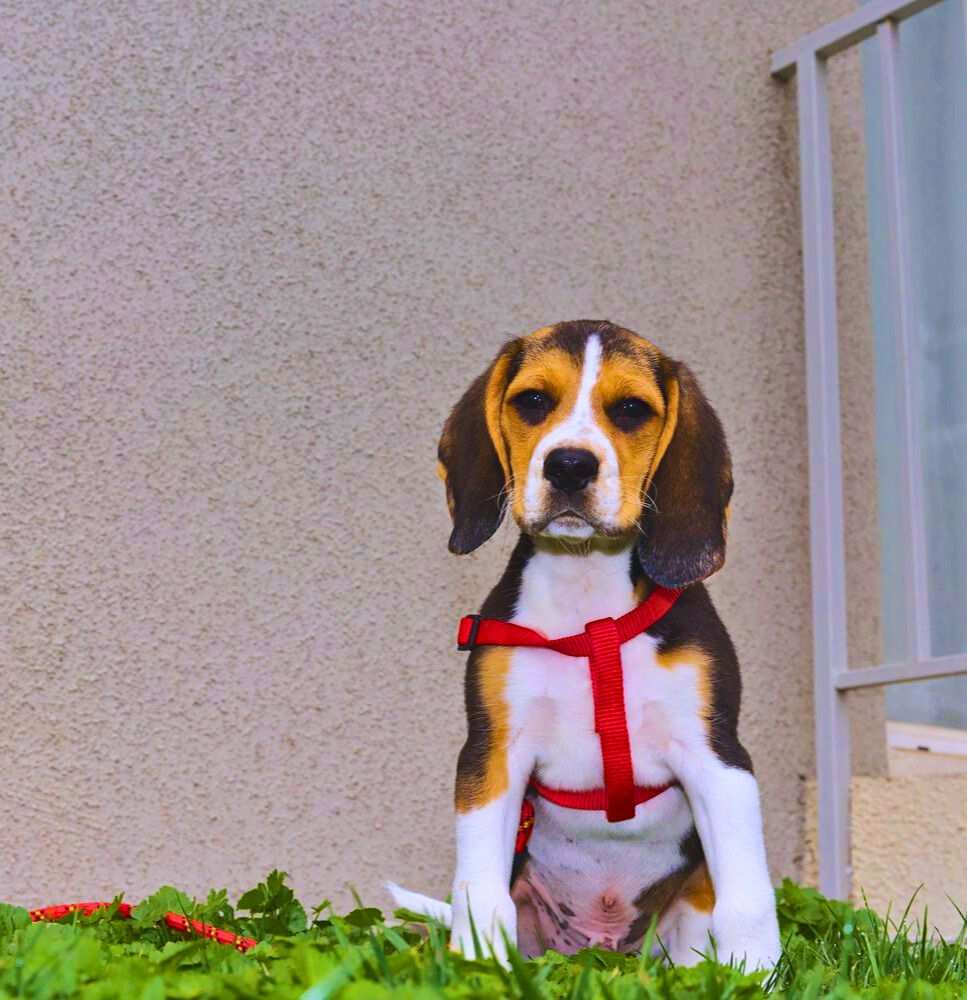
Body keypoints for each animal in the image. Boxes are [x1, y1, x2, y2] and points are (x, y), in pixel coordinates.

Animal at [390, 320, 784, 968]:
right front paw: (481, 967)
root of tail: (602, 951)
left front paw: (753, 973)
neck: (588, 604)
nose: (570, 466)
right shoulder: (492, 755)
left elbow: (748, 902)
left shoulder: (718, 758)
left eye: (630, 410)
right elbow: (479, 892)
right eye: (532, 401)